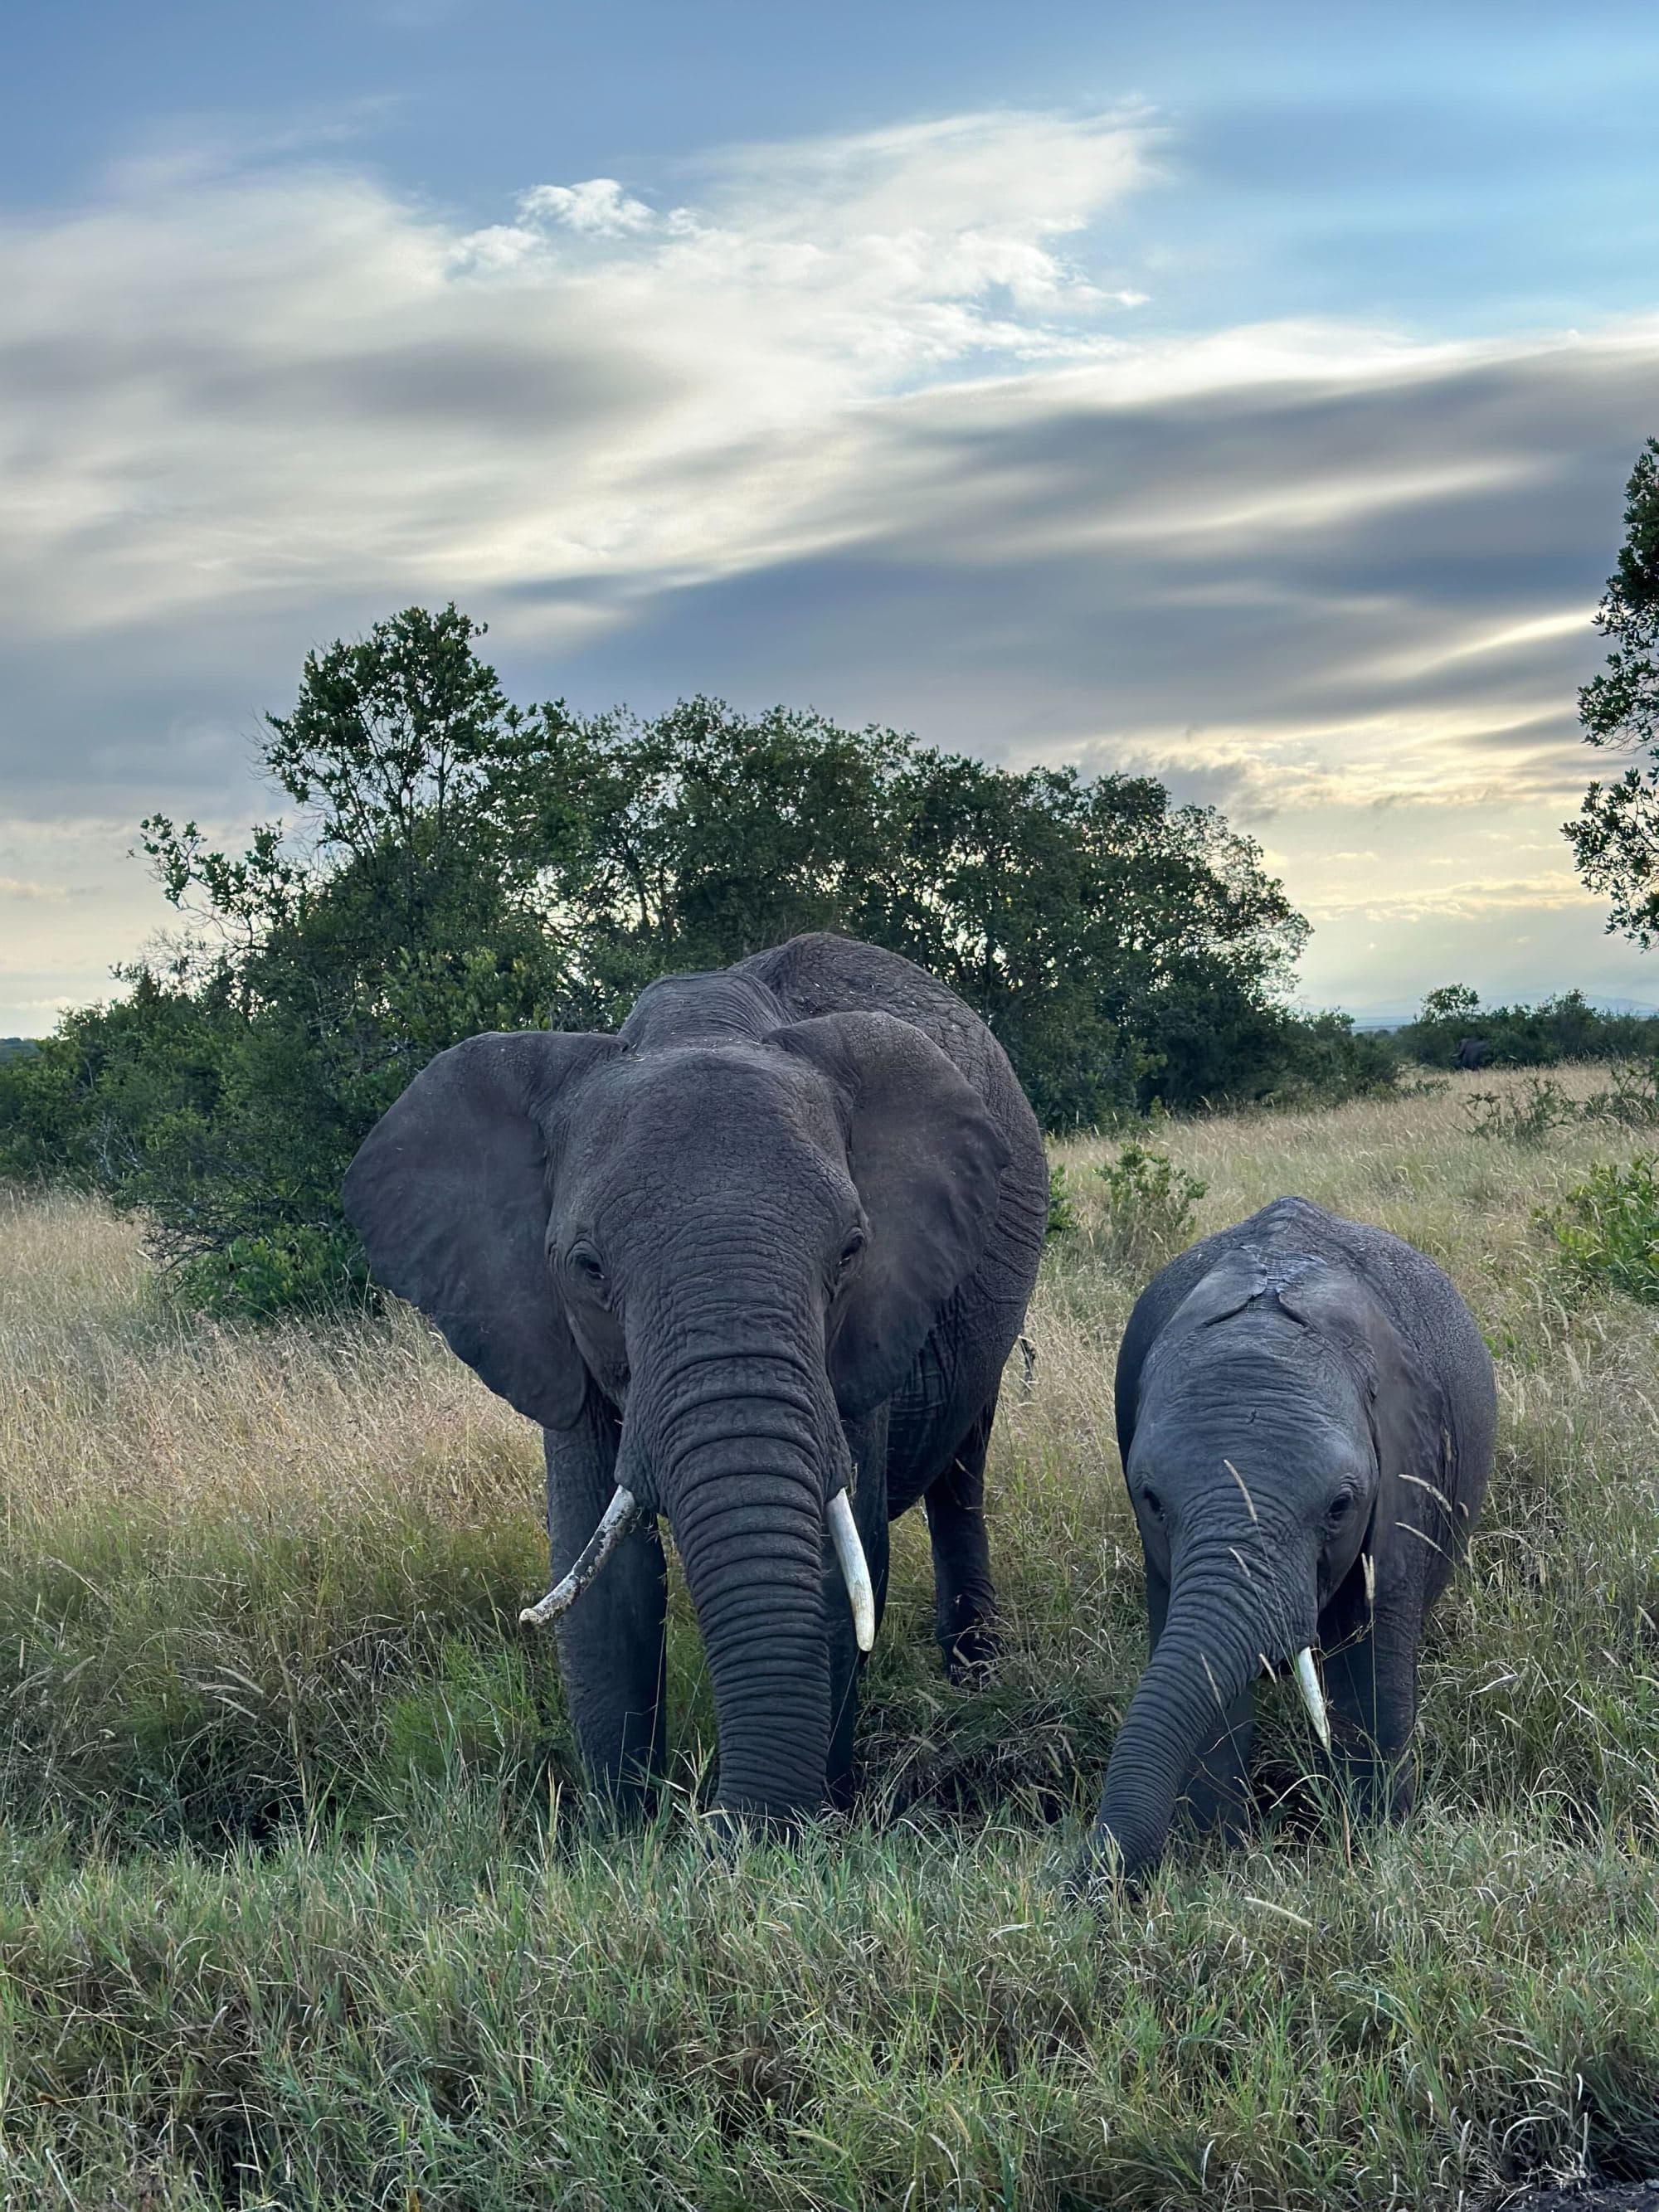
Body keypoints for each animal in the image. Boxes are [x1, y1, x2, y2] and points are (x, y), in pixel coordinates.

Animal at [343, 932, 1048, 1826]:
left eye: (851, 1251)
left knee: (962, 1473)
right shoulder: (547, 1329)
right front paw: (621, 1837)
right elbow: (601, 1580)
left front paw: (808, 1826)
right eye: (588, 1268)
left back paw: (975, 1681)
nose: (716, 1824)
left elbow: (838, 1556)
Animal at [1078, 1196, 1494, 1888]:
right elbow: (1201, 1678)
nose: (1088, 1887)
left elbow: (1372, 1661)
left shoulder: (1407, 1474)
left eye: (1339, 1506)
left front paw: (1375, 1851)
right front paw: (1217, 1861)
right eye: (1152, 1500)